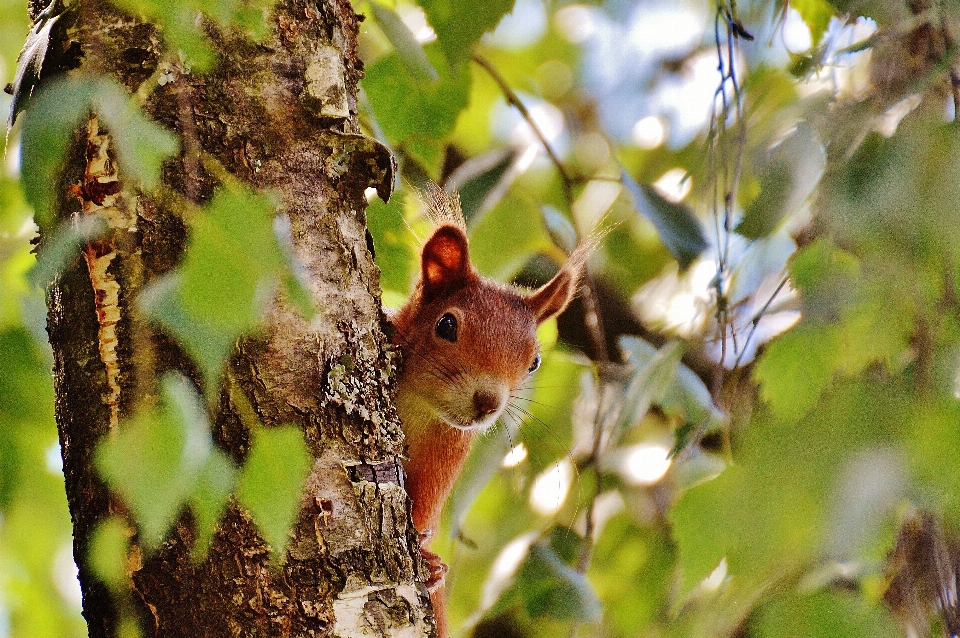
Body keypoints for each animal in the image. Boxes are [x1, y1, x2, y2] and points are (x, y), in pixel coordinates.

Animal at [388, 191, 584, 638]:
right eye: (446, 325)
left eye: (534, 362)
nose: (488, 402)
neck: (418, 407)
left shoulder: (446, 450)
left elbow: (424, 508)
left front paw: (428, 562)